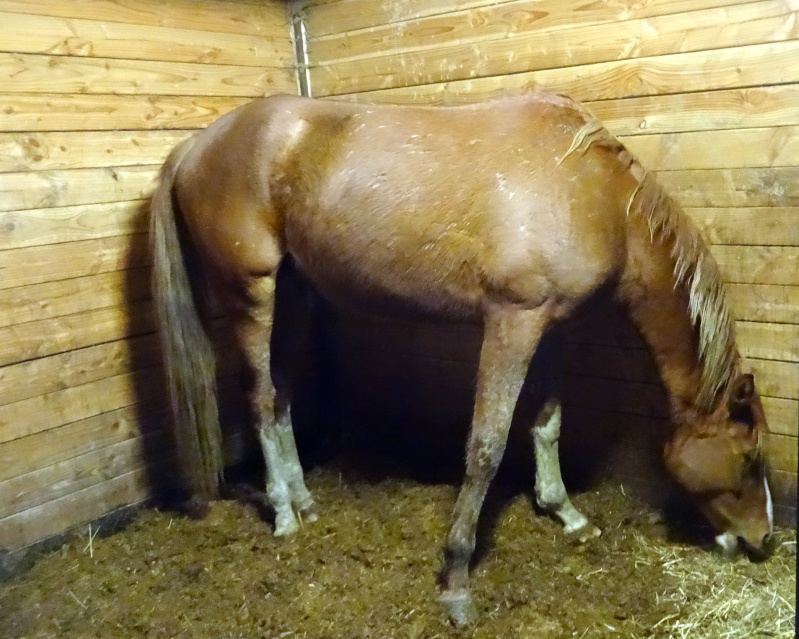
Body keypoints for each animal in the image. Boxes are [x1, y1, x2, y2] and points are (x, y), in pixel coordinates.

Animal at [150, 92, 776, 624]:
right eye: (749, 459)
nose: (764, 540)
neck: (593, 192)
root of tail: (194, 146)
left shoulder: (550, 328)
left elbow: (546, 423)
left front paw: (564, 511)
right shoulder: (512, 321)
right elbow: (486, 446)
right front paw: (456, 579)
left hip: (292, 291)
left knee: (281, 396)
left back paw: (304, 499)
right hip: (251, 292)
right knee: (259, 399)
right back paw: (282, 513)